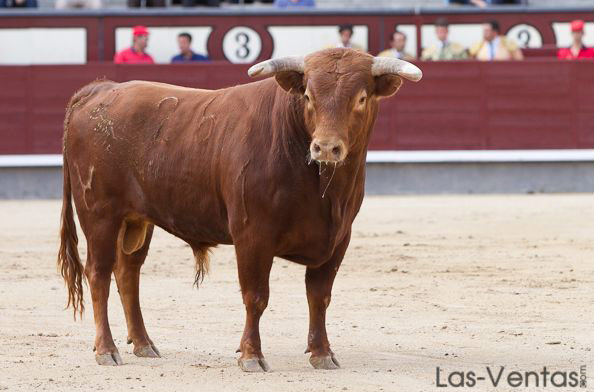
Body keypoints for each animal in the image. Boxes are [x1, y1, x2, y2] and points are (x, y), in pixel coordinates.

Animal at [54, 48, 416, 370]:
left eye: (361, 98)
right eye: (308, 96)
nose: (326, 147)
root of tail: (101, 89)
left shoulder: (339, 238)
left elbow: (319, 297)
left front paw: (322, 353)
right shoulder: (252, 234)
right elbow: (256, 296)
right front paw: (252, 356)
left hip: (137, 220)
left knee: (128, 273)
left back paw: (144, 344)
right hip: (98, 214)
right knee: (98, 273)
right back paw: (106, 350)